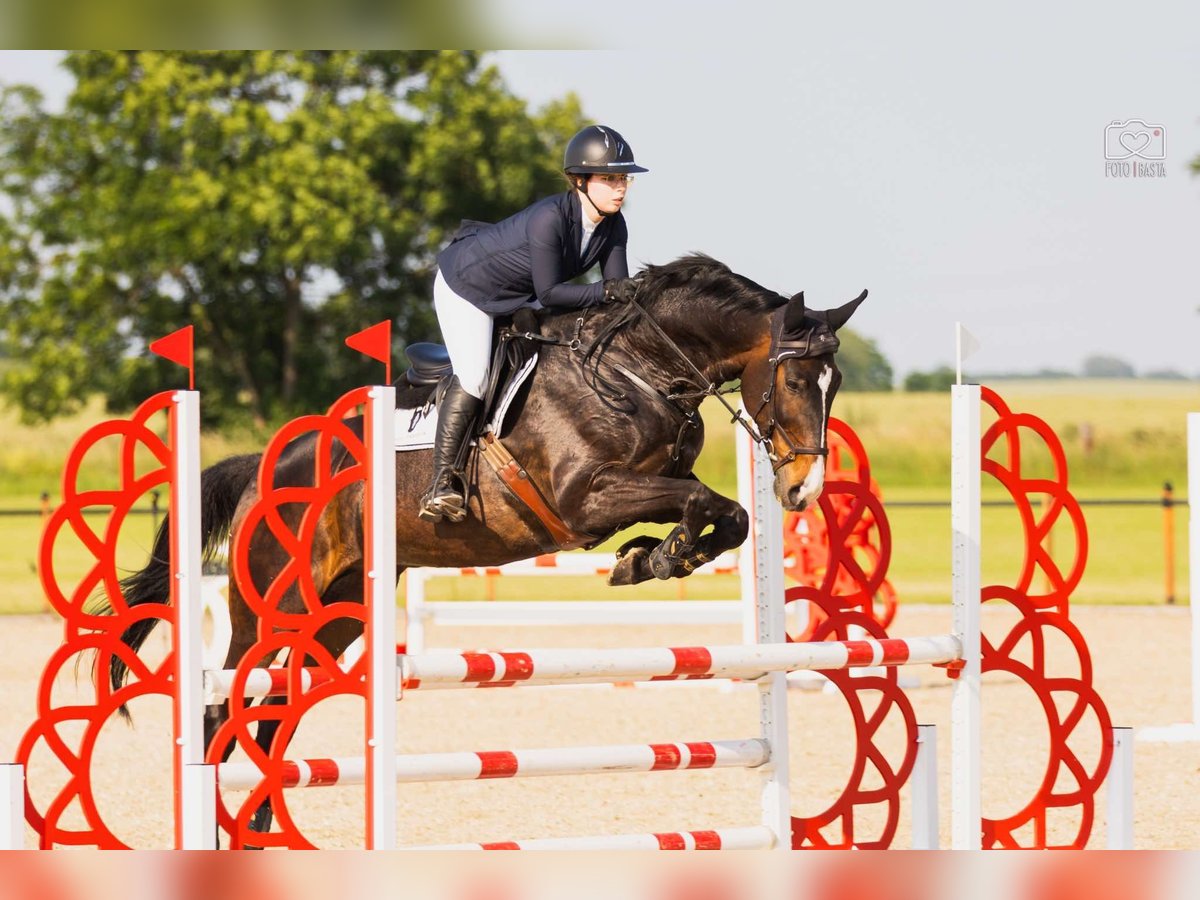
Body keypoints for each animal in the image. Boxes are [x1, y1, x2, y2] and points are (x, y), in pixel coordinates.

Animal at [108, 250, 868, 844]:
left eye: (835, 385)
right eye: (794, 380)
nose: (802, 489)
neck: (637, 369)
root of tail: (267, 464)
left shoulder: (636, 489)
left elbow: (727, 514)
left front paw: (651, 557)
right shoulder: (584, 497)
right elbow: (703, 502)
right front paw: (660, 554)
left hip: (338, 614)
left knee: (272, 714)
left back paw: (260, 829)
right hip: (275, 607)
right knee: (223, 705)